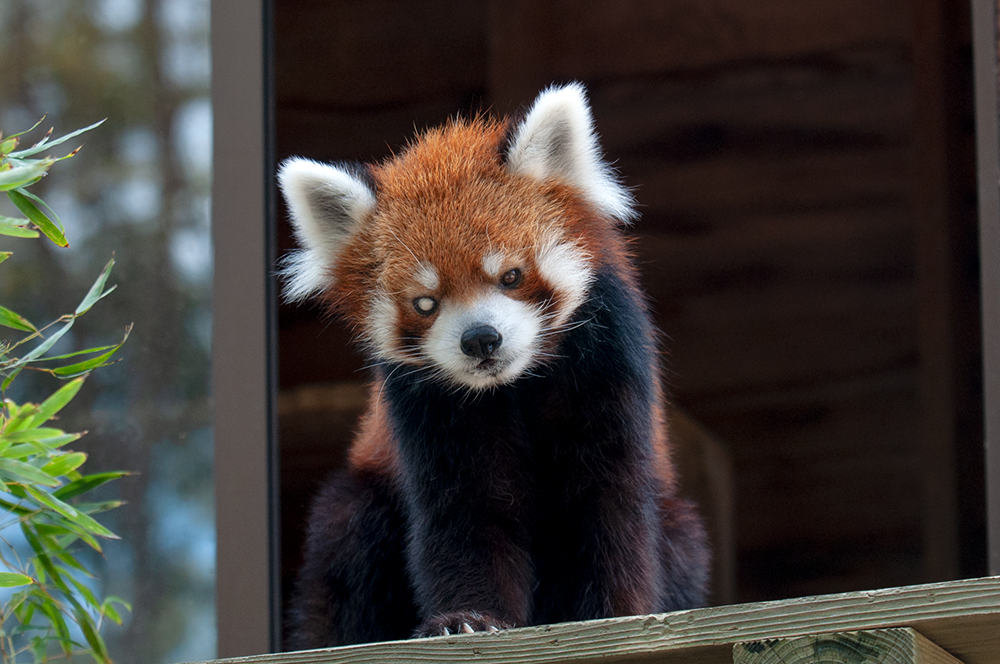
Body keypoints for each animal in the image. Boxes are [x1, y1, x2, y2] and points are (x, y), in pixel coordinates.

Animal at [278, 83, 708, 648]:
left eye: (510, 276)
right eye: (425, 303)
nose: (480, 339)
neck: (512, 385)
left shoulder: (605, 364)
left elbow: (607, 500)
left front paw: (611, 615)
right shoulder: (432, 409)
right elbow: (470, 509)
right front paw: (469, 618)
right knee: (348, 541)